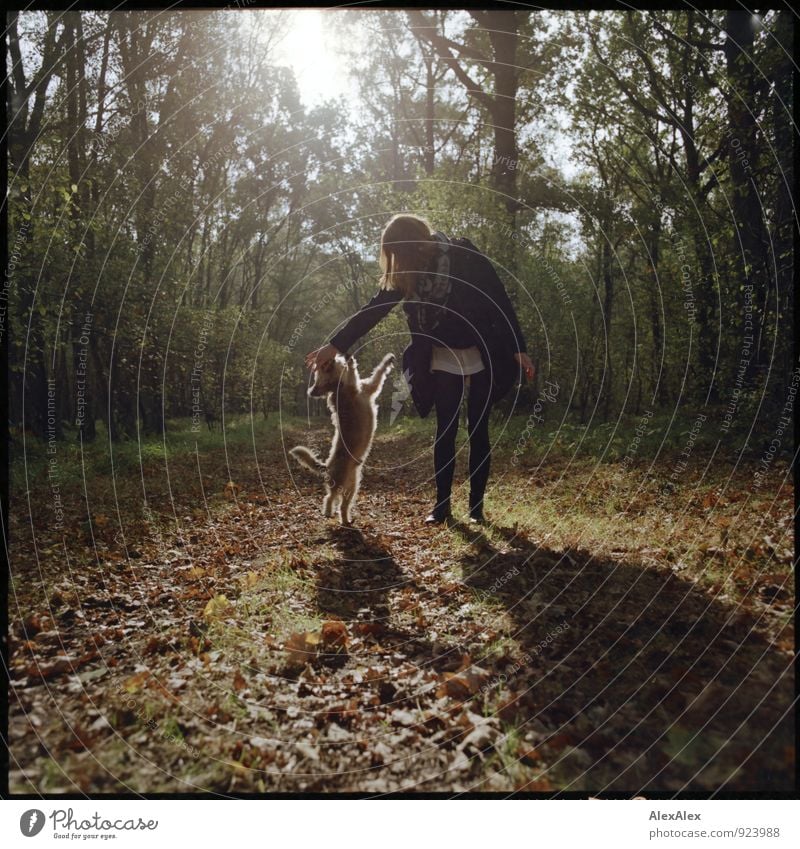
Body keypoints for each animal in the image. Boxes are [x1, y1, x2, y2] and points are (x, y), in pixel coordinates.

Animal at [292, 352, 396, 524]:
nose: (329, 356)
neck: (338, 385)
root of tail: (327, 465)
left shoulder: (370, 386)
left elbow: (379, 372)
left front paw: (388, 360)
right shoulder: (359, 386)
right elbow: (355, 372)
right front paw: (350, 362)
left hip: (352, 488)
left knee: (342, 505)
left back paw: (346, 519)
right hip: (338, 484)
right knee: (329, 497)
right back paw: (328, 512)